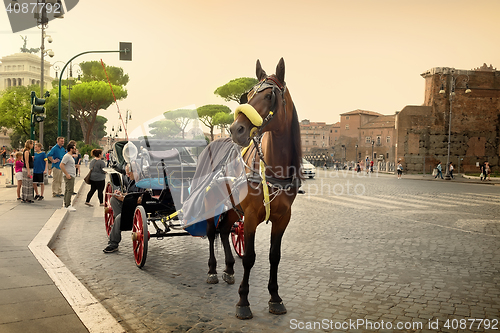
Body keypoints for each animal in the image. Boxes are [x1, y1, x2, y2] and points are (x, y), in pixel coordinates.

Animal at [228, 58, 302, 318]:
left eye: (270, 96)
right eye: (248, 95)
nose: (235, 129)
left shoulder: (283, 218)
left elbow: (274, 256)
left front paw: (275, 297)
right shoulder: (250, 215)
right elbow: (250, 257)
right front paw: (243, 301)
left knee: (224, 231)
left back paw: (228, 269)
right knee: (212, 232)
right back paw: (213, 270)